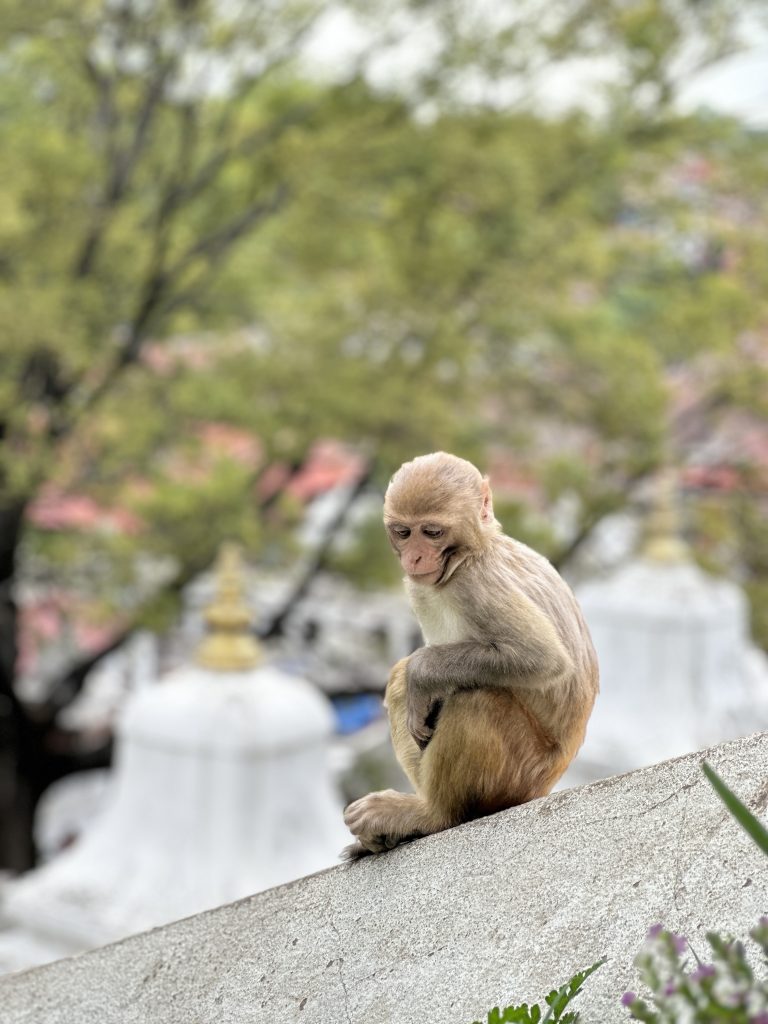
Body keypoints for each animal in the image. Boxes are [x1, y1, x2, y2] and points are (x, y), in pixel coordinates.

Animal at [344, 452, 602, 860]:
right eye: (404, 532)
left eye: (432, 532)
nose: (415, 556)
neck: (468, 553)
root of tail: (546, 783)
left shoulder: (475, 584)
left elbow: (542, 659)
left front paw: (422, 673)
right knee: (404, 684)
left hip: (519, 774)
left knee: (475, 698)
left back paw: (432, 814)